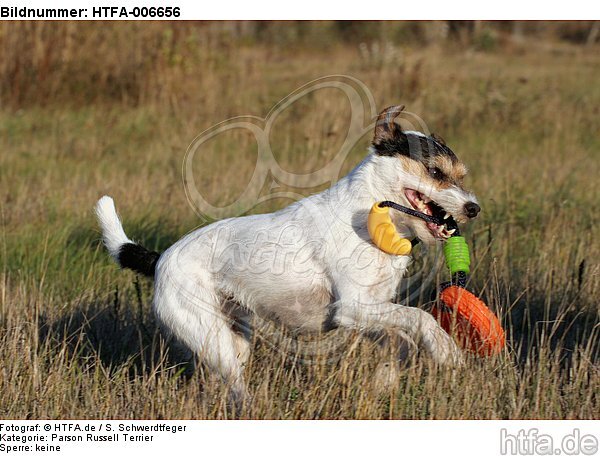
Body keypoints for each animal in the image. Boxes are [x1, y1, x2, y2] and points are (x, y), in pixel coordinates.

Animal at [97, 106, 482, 402]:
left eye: (461, 177)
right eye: (435, 172)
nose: (473, 208)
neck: (373, 215)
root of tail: (161, 258)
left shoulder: (370, 311)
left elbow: (399, 340)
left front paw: (384, 384)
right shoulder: (352, 306)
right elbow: (422, 318)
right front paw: (445, 349)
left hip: (235, 338)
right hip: (213, 338)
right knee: (236, 387)